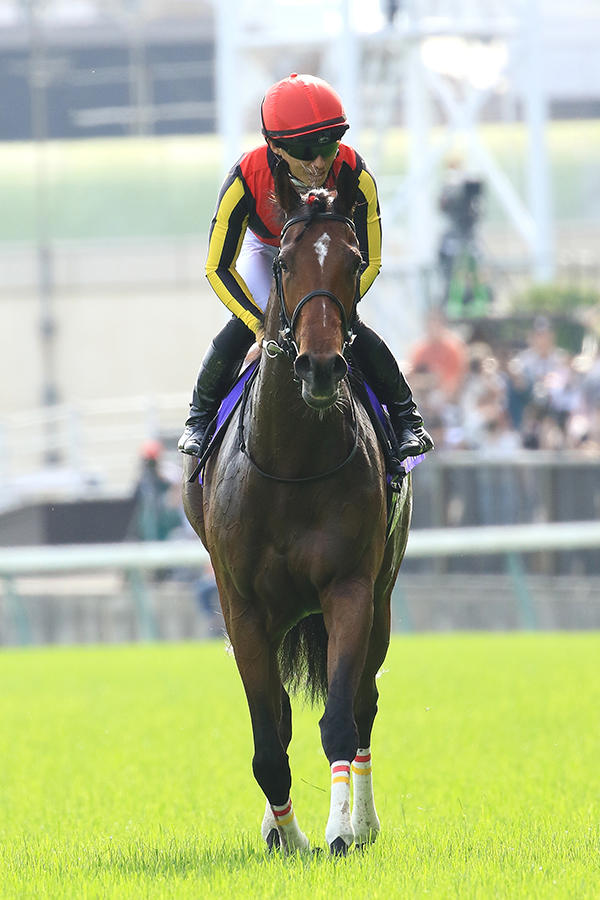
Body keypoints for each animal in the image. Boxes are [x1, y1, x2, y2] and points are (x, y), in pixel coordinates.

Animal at [183, 160, 412, 855]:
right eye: (284, 263)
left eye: (353, 260)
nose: (318, 367)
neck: (291, 465)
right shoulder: (244, 608)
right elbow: (269, 735)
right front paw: (287, 836)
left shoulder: (350, 588)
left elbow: (339, 718)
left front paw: (338, 831)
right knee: (283, 715)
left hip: (383, 598)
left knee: (363, 704)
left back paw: (364, 824)